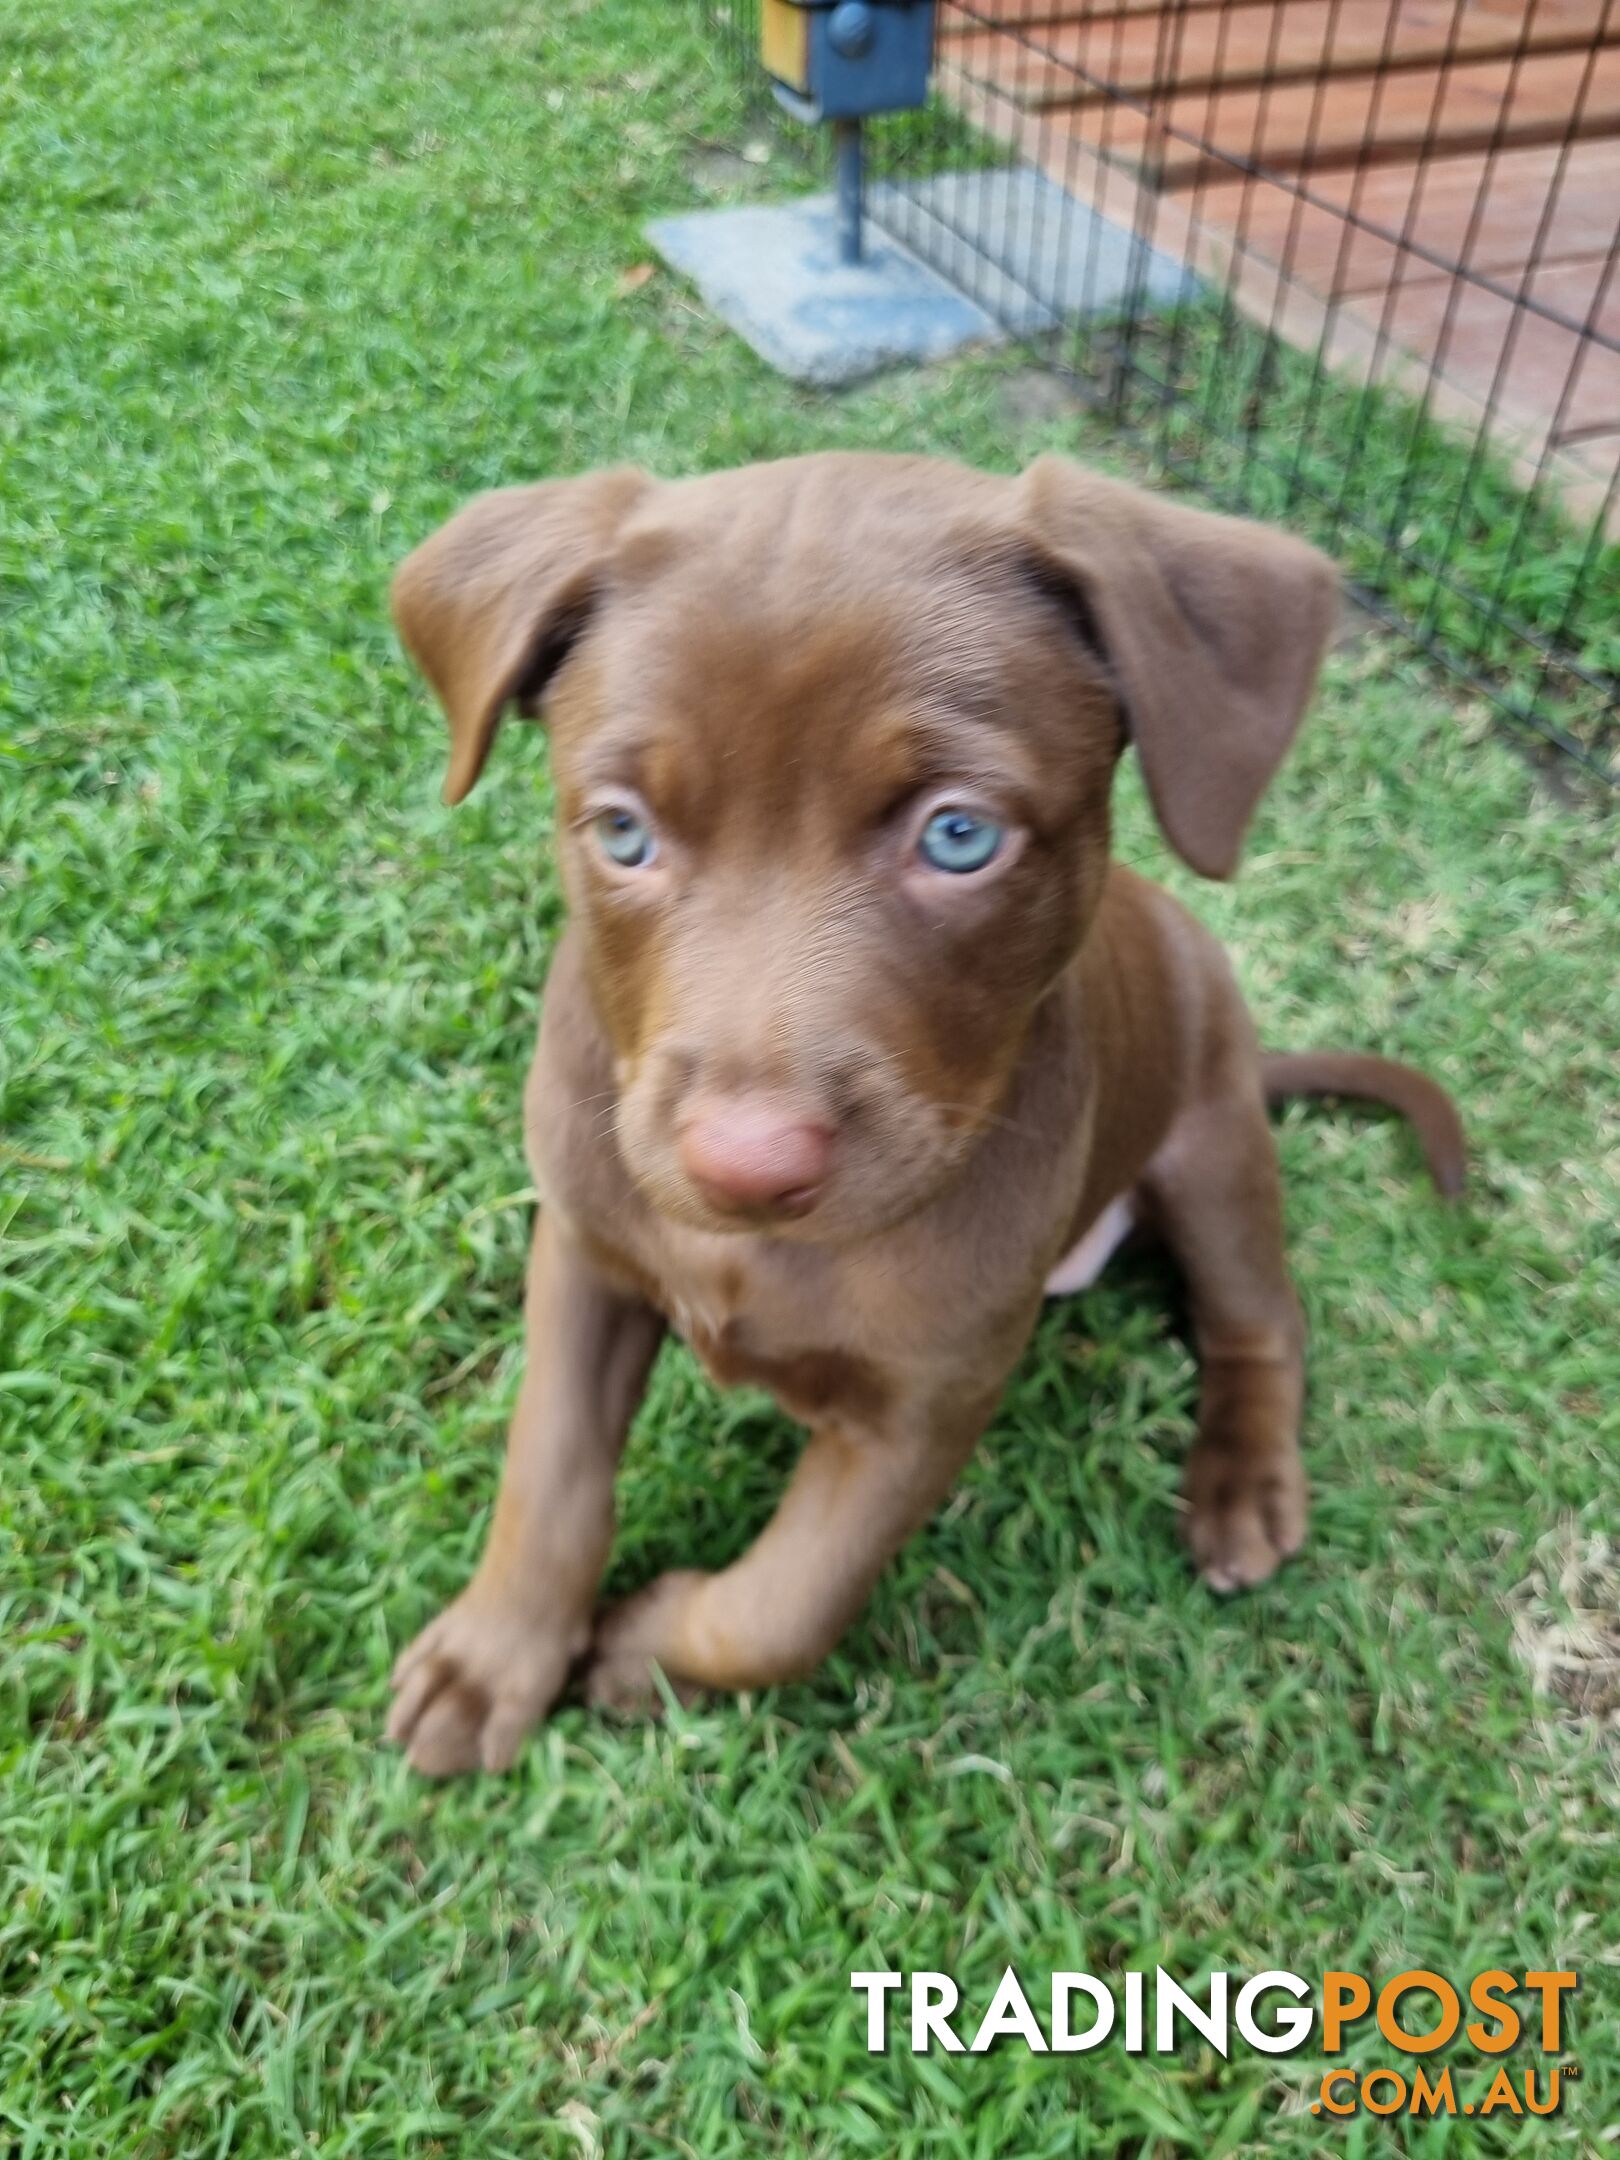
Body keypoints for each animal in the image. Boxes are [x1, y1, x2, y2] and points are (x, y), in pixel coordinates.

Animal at [386, 451, 1468, 1771]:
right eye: (623, 833)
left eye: (959, 836)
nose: (744, 1166)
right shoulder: (585, 1253)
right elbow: (548, 1477)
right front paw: (493, 1661)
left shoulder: (928, 1397)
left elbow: (780, 1607)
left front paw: (648, 1649)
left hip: (1211, 1135)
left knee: (1260, 1319)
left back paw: (1243, 1485)